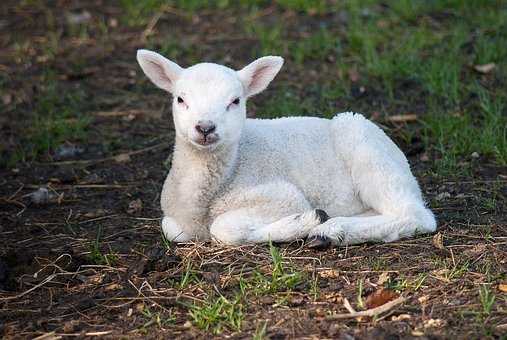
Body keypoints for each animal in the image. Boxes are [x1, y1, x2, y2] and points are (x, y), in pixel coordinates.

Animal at [137, 49, 438, 247]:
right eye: (180, 99)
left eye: (235, 101)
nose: (205, 128)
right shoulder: (174, 218)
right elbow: (170, 229)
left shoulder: (282, 196)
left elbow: (223, 228)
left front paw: (303, 222)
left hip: (367, 150)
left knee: (416, 215)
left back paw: (331, 230)